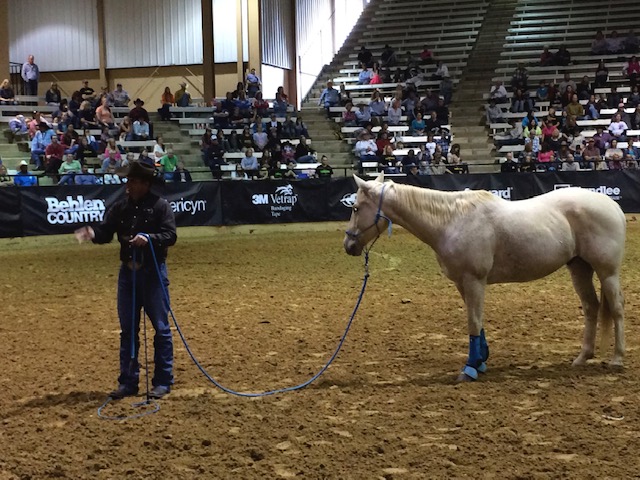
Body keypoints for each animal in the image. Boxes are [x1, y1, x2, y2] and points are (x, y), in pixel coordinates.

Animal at [344, 174, 624, 380]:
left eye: (356, 208)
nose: (349, 245)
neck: (451, 220)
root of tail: (613, 205)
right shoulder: (462, 283)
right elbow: (476, 321)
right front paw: (480, 360)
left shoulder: (474, 280)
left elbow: (473, 322)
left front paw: (469, 369)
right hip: (579, 268)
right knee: (591, 307)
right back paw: (582, 357)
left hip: (607, 272)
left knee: (616, 309)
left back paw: (618, 359)